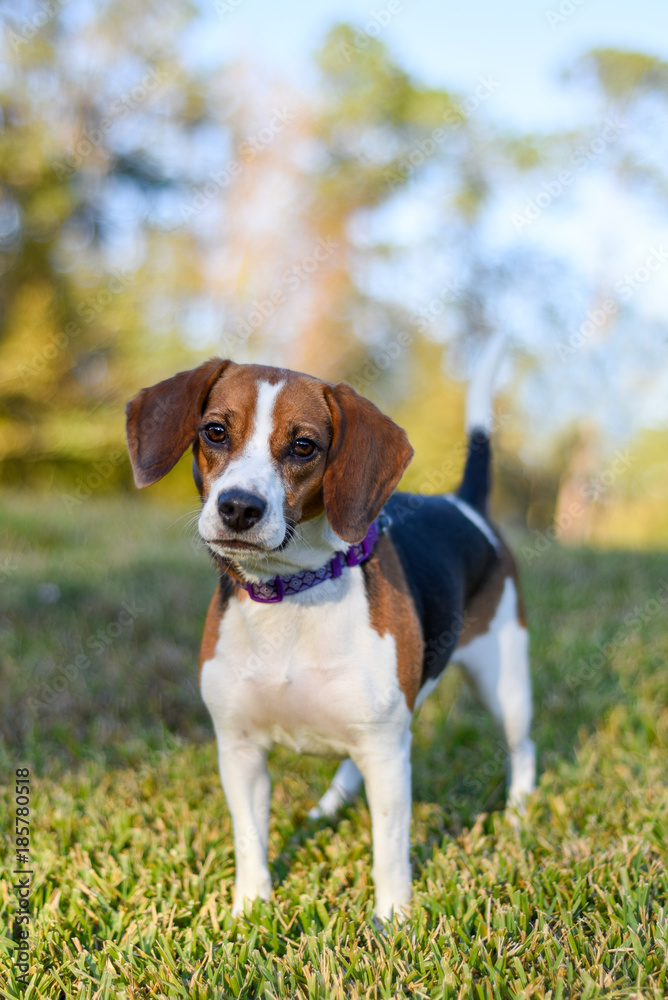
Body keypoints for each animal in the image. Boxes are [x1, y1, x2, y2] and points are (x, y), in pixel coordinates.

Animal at [124, 336, 532, 920]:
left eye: (303, 446)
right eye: (215, 431)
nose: (239, 507)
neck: (292, 594)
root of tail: (462, 502)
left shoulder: (387, 753)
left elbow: (389, 851)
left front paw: (393, 922)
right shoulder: (241, 750)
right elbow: (250, 841)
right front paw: (249, 912)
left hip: (504, 685)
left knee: (523, 749)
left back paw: (519, 814)